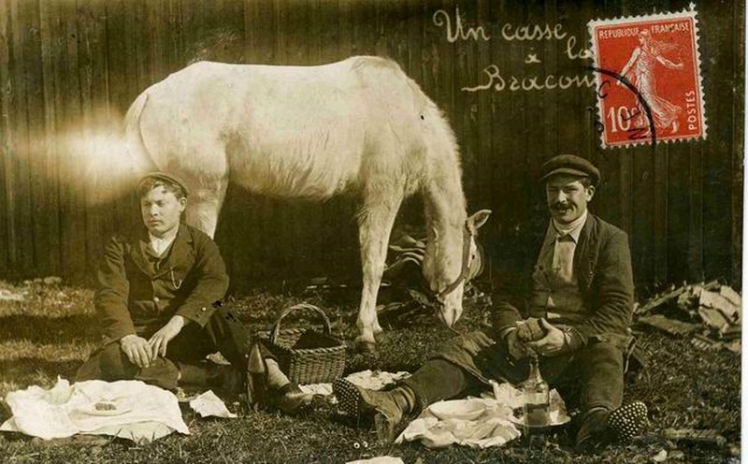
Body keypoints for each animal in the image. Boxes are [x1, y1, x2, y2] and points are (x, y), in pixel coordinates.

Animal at [125, 55, 490, 352]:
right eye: (471, 256)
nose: (454, 313)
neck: (409, 116)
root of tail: (151, 95)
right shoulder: (382, 192)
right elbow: (374, 260)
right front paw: (366, 332)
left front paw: (373, 326)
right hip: (203, 194)